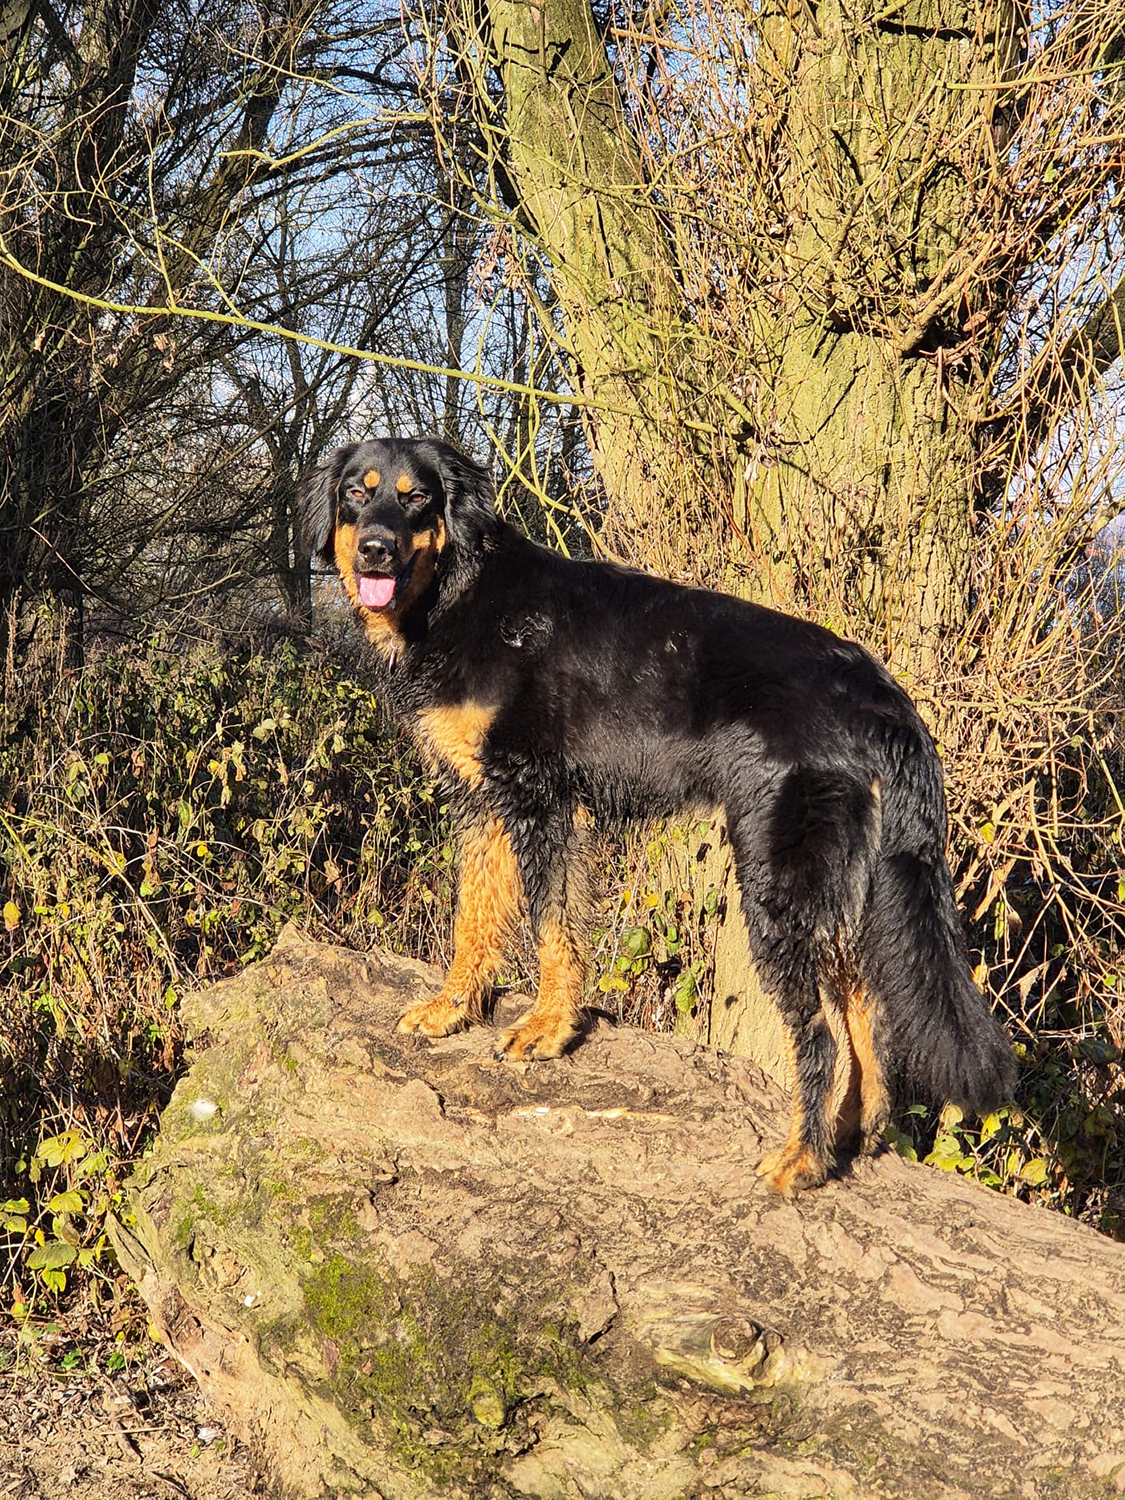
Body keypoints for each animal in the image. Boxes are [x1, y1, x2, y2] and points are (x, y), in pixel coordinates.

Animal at [298, 435, 1015, 1194]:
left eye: (415, 498)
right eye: (356, 491)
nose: (374, 549)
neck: (461, 593)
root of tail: (878, 690)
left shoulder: (538, 801)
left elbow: (549, 927)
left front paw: (547, 1028)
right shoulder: (482, 803)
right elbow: (476, 917)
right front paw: (453, 1009)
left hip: (775, 881)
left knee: (819, 1031)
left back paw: (799, 1159)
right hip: (836, 883)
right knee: (862, 1010)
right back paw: (846, 1140)